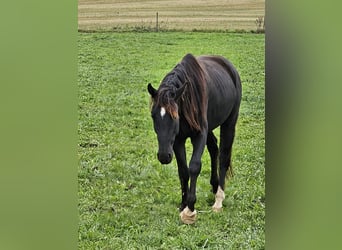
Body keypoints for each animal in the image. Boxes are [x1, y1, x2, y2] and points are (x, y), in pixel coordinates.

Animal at [146, 53, 240, 225]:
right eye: (153, 115)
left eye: (174, 116)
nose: (163, 156)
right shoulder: (177, 140)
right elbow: (183, 171)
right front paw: (183, 204)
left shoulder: (200, 134)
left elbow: (194, 166)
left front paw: (190, 209)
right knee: (214, 149)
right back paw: (214, 185)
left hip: (230, 122)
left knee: (224, 156)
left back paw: (218, 199)